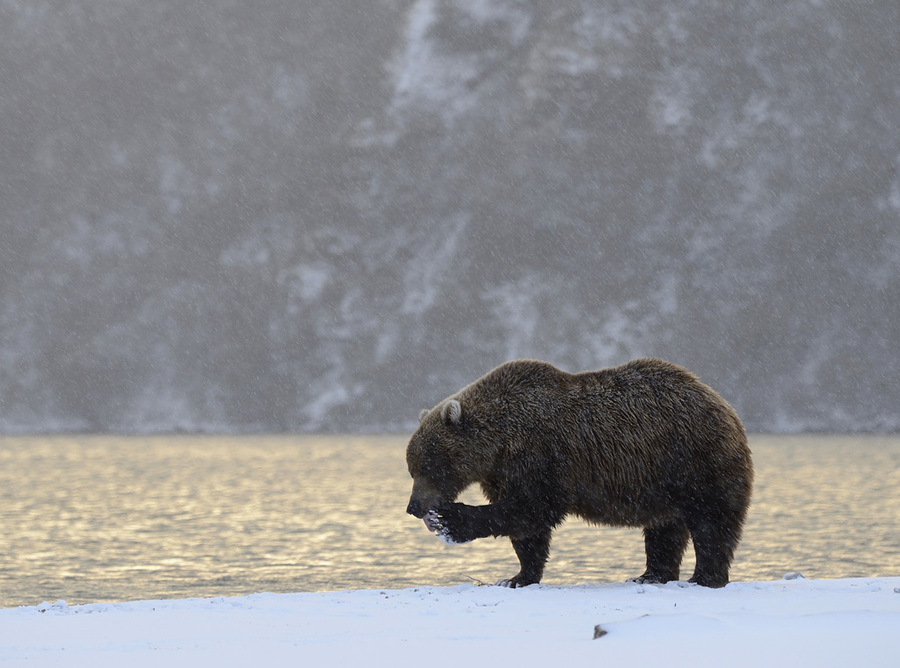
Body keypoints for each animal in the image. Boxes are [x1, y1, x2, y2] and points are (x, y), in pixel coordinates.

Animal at [408, 358, 752, 588]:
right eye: (412, 468)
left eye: (427, 467)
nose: (413, 507)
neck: (499, 445)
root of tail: (724, 404)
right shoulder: (504, 473)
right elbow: (528, 532)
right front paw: (517, 576)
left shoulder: (540, 457)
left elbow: (530, 510)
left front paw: (453, 520)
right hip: (664, 482)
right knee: (664, 529)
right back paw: (649, 575)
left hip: (697, 459)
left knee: (712, 523)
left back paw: (704, 576)